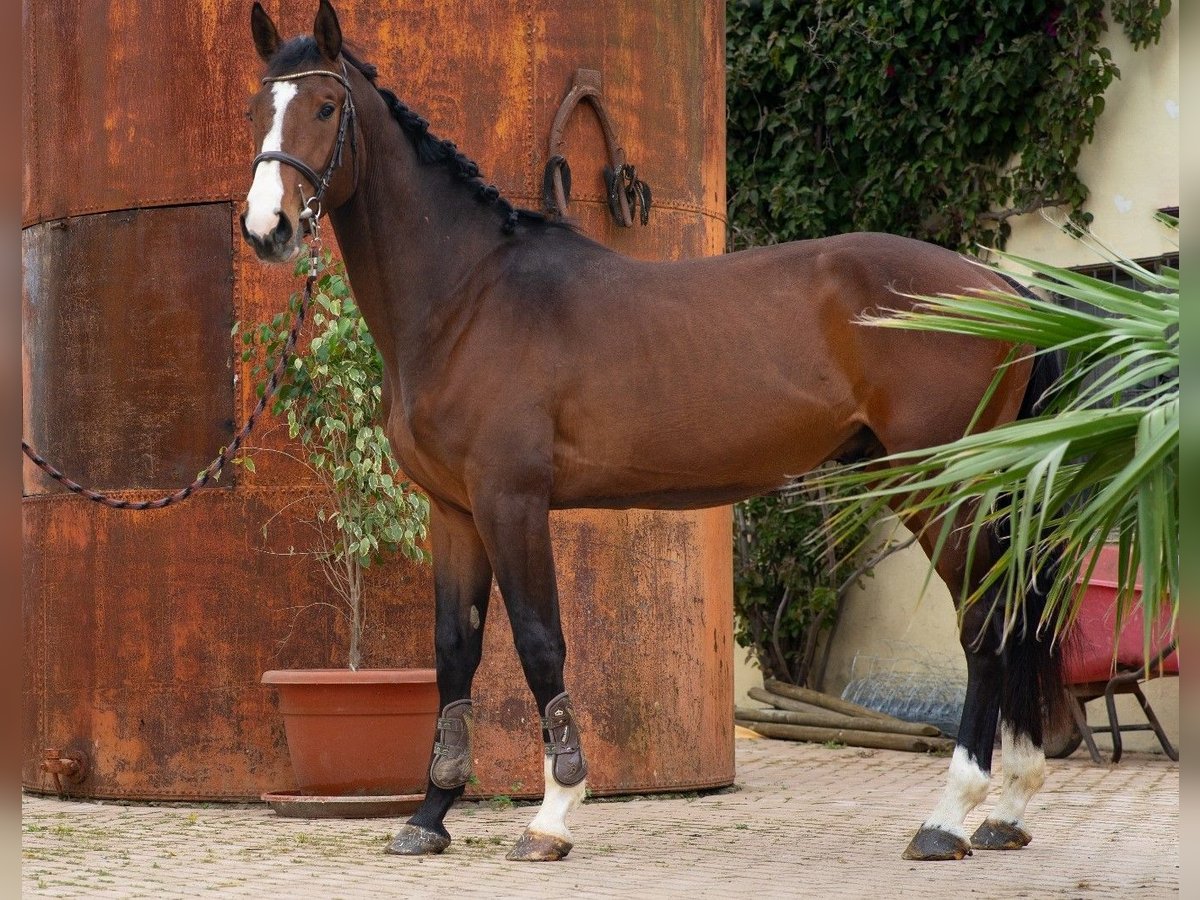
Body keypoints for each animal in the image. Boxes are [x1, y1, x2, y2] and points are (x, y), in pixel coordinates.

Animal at [241, 1, 1065, 863]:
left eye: (325, 107)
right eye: (257, 108)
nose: (267, 229)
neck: (468, 295)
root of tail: (1002, 287)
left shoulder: (511, 500)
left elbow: (539, 641)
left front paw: (552, 815)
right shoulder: (455, 510)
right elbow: (454, 651)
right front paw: (429, 816)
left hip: (943, 483)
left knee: (983, 623)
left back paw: (947, 819)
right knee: (1019, 614)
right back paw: (1007, 811)